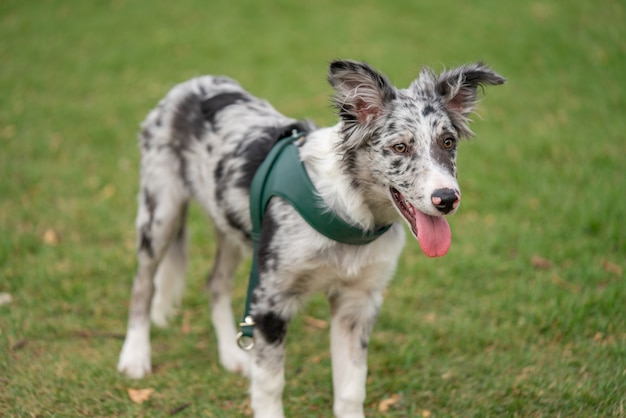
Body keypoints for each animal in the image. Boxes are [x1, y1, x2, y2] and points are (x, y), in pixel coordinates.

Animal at [118, 60, 502, 416]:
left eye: (448, 142)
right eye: (400, 148)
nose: (447, 199)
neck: (349, 211)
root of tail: (188, 87)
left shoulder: (356, 303)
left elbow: (351, 388)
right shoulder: (270, 301)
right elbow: (270, 385)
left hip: (231, 227)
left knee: (215, 284)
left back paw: (231, 354)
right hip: (160, 213)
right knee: (142, 286)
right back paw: (135, 357)